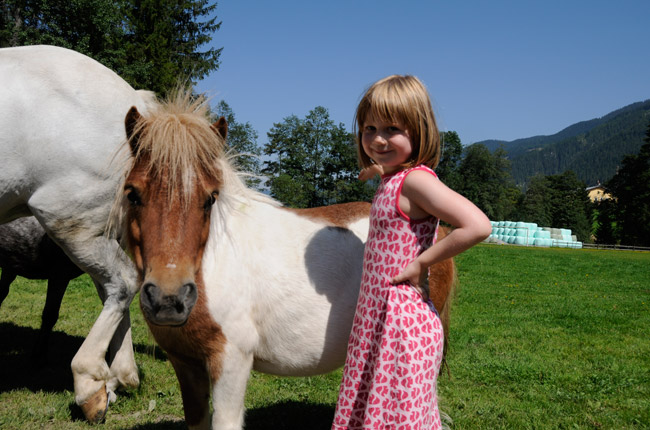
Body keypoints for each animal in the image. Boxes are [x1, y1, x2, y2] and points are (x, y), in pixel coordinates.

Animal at [118, 91, 456, 430]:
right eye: (132, 193)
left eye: (210, 198)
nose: (168, 299)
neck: (212, 263)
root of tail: (442, 230)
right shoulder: (186, 364)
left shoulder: (231, 362)